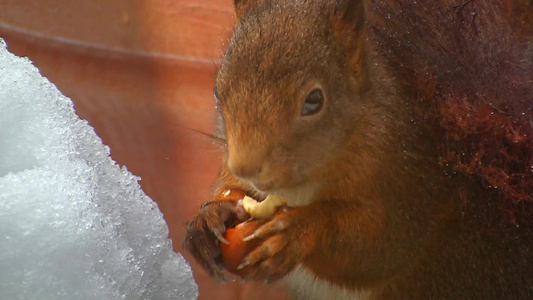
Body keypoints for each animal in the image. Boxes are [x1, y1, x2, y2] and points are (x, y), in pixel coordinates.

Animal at [183, 0, 532, 298]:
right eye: (217, 90)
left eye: (314, 100)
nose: (246, 168)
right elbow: (232, 190)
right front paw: (210, 214)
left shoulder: (407, 180)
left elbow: (378, 250)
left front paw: (297, 231)